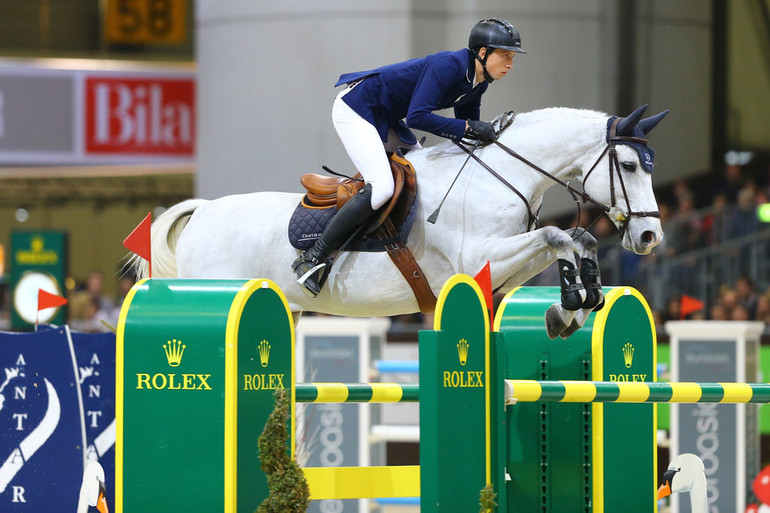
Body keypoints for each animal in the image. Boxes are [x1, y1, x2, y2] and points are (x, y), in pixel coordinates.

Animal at [132, 104, 664, 338]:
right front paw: (573, 299)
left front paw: (572, 307)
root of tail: (203, 210)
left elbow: (575, 238)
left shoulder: (503, 267)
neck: (501, 174)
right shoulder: (478, 257)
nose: (650, 236)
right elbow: (557, 234)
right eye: (630, 165)